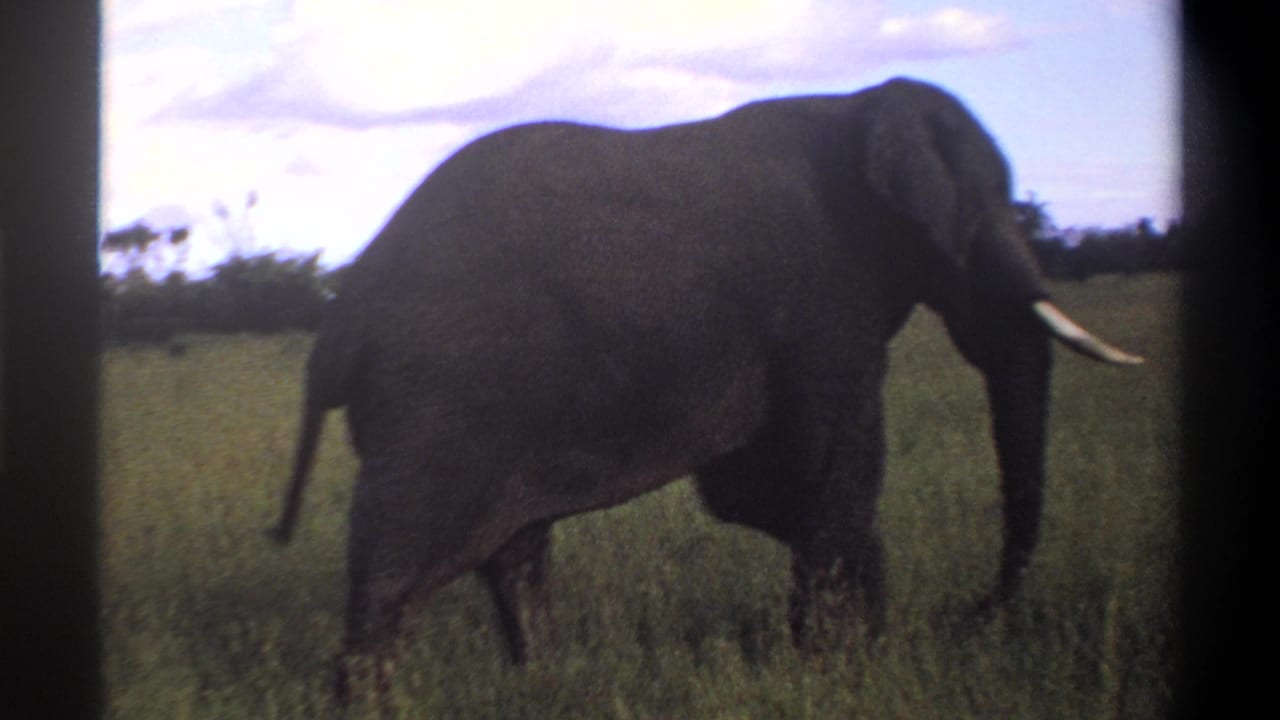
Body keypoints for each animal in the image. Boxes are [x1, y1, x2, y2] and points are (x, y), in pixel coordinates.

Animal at [268, 76, 1141, 704]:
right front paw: (839, 669)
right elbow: (825, 476)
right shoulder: (823, 305)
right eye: (984, 215)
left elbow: (763, 493)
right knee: (396, 576)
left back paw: (546, 682)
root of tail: (341, 321)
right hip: (432, 405)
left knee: (515, 553)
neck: (863, 107)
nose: (967, 615)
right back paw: (374, 701)